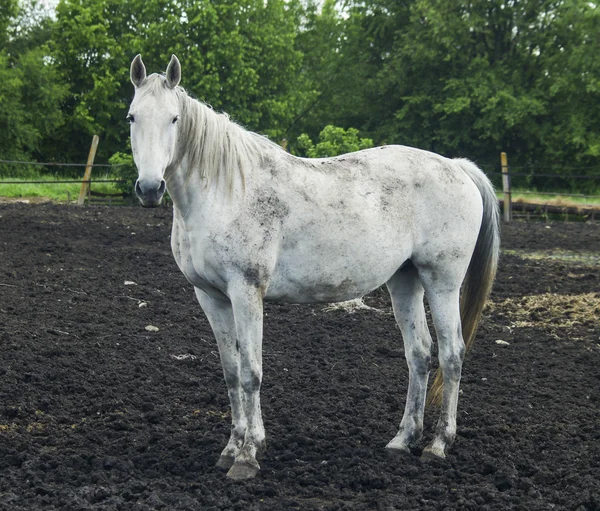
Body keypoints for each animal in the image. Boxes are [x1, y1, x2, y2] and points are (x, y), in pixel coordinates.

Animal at [127, 55, 502, 480]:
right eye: (132, 117)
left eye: (174, 119)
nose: (150, 188)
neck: (224, 190)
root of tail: (457, 167)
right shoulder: (211, 298)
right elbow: (230, 372)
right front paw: (230, 448)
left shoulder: (246, 292)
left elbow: (251, 372)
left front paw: (248, 456)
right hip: (405, 282)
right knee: (419, 354)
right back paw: (402, 440)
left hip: (442, 282)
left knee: (452, 354)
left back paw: (438, 444)